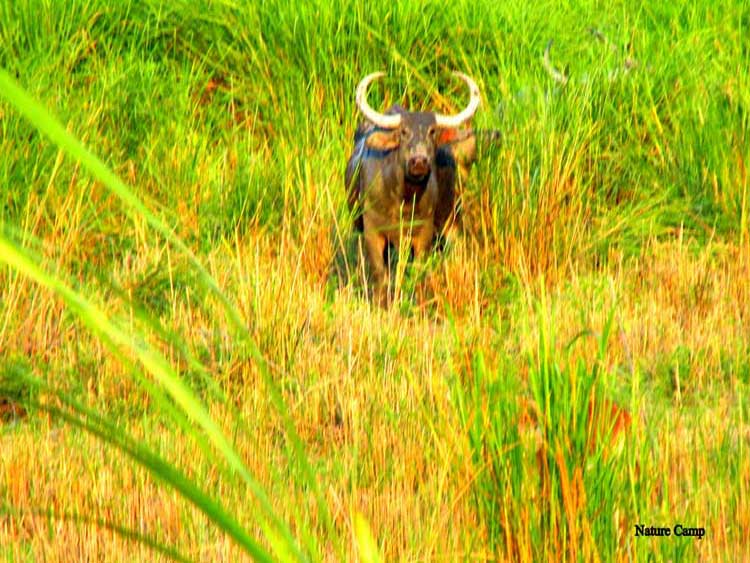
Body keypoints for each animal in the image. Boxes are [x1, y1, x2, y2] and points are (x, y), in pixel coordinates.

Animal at [346, 73, 482, 306]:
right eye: (403, 131)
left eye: (432, 131)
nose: (419, 161)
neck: (404, 199)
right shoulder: (372, 230)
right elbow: (380, 274)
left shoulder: (423, 232)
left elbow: (418, 270)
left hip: (451, 216)